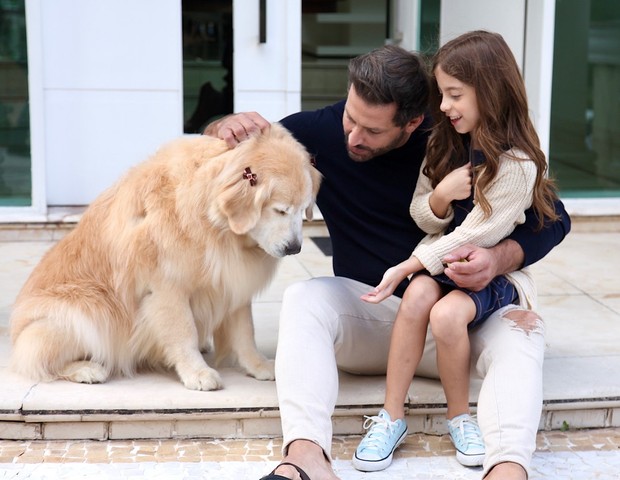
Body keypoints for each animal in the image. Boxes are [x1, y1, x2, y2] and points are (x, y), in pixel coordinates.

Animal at [8, 124, 320, 390]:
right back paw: (87, 369)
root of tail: (15, 333)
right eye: (280, 210)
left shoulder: (233, 283)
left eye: (304, 208)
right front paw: (197, 373)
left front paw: (258, 365)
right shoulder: (166, 289)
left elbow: (245, 332)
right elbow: (183, 332)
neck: (213, 225)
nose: (295, 248)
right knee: (38, 361)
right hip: (84, 311)